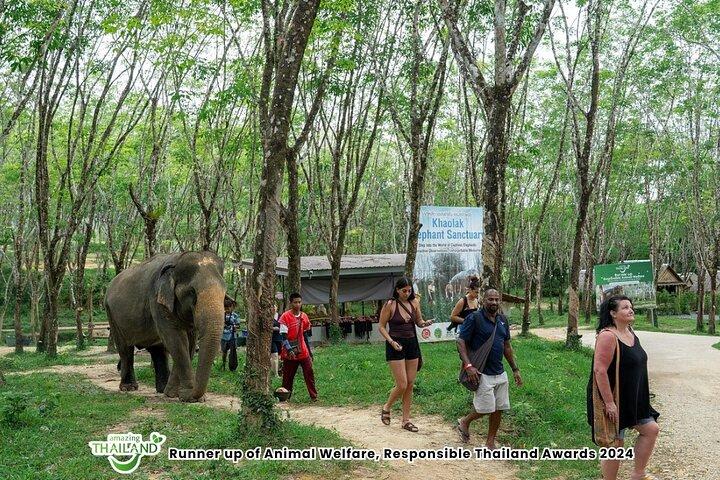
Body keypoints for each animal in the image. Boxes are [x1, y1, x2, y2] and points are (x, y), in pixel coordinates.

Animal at [105, 251, 228, 402]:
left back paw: (162, 389)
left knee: (159, 351)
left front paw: (173, 394)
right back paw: (129, 388)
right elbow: (176, 338)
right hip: (111, 315)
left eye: (224, 293)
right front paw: (188, 397)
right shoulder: (157, 300)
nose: (196, 395)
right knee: (125, 349)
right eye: (192, 292)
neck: (177, 260)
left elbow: (189, 342)